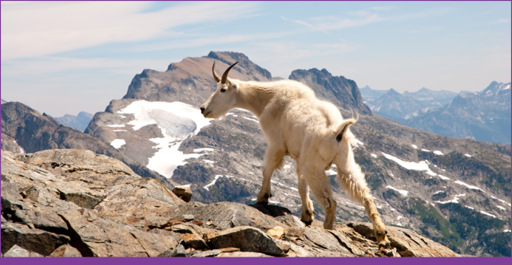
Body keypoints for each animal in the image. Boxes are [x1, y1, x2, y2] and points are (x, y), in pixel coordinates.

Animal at [199, 60, 388, 245]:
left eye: (223, 89)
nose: (203, 108)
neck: (266, 100)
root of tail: (337, 131)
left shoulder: (276, 144)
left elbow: (267, 170)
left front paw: (262, 197)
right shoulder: (299, 158)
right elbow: (301, 186)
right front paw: (307, 214)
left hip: (314, 168)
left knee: (331, 203)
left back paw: (328, 230)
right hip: (345, 163)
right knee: (365, 196)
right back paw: (382, 236)